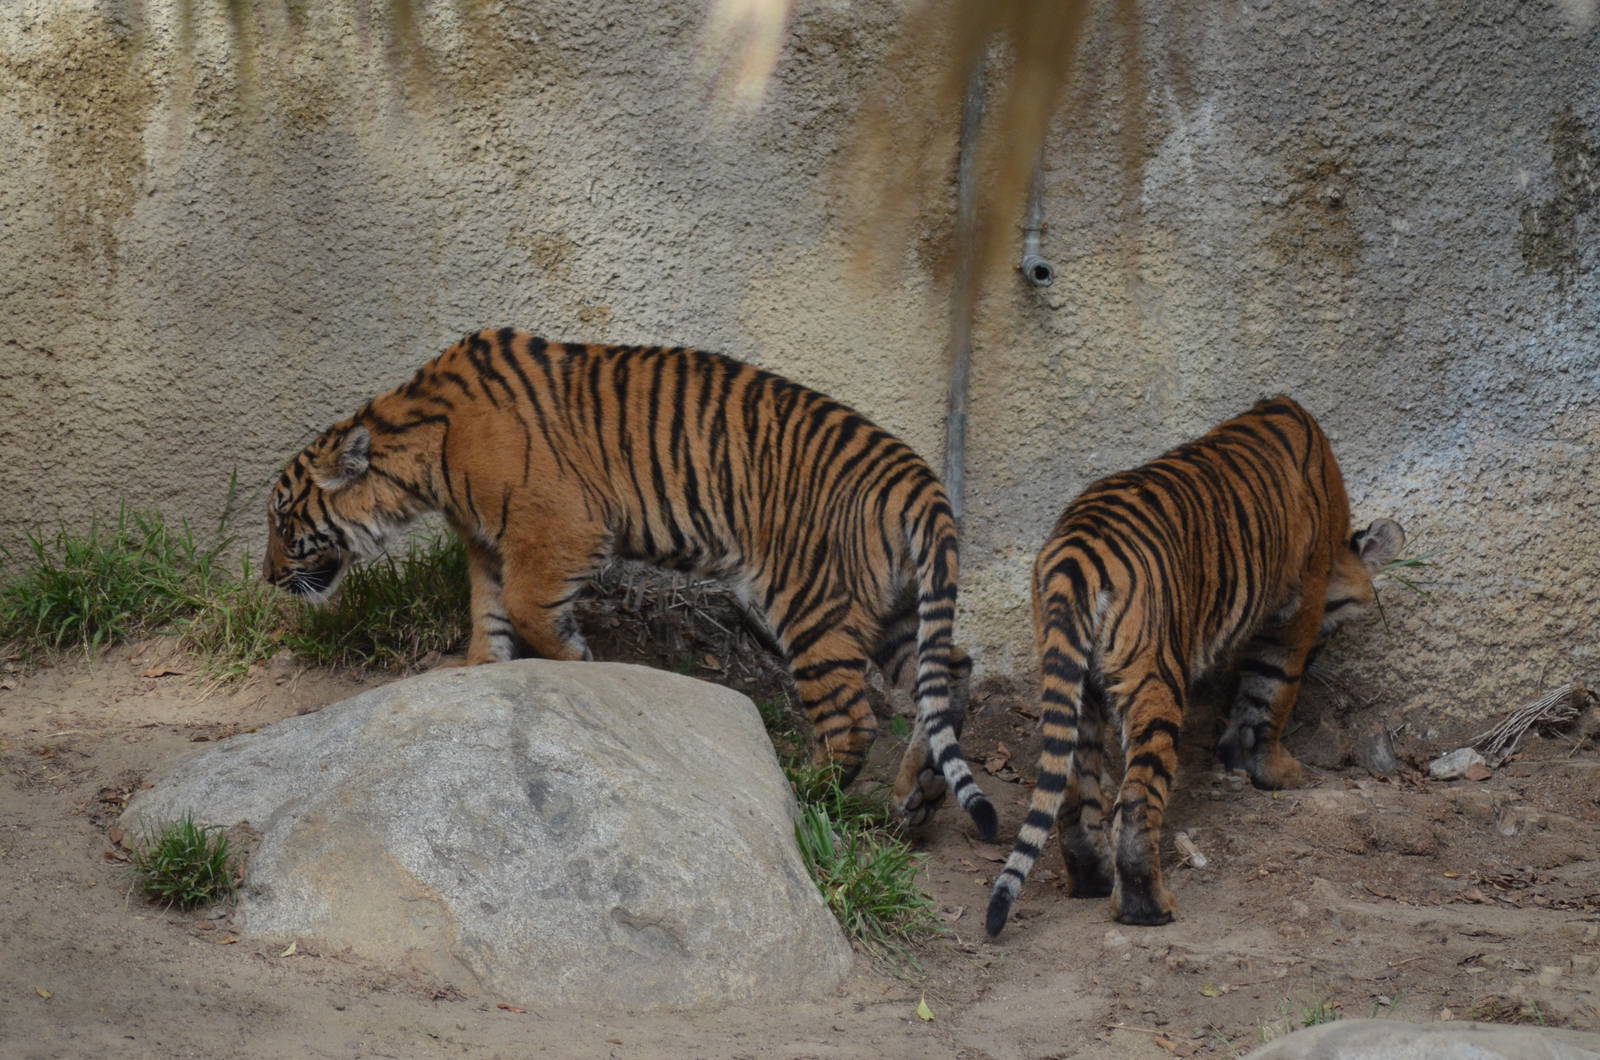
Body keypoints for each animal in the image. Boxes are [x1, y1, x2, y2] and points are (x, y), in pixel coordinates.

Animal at [262, 327, 998, 840]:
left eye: (281, 518)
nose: (268, 577)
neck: (419, 457)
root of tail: (918, 476)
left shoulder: (562, 525)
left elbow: (526, 608)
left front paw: (576, 661)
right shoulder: (489, 543)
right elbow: (488, 615)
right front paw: (478, 671)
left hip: (809, 600)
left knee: (852, 717)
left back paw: (806, 792)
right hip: (898, 609)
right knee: (950, 670)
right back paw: (918, 794)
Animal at [984, 396, 1403, 934]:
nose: (1328, 650)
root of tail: (1076, 551)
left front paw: (1235, 752)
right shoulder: (1298, 606)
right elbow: (1272, 689)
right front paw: (1275, 769)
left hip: (1075, 684)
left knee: (1076, 792)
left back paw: (1093, 880)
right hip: (1153, 676)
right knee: (1137, 797)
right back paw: (1148, 907)